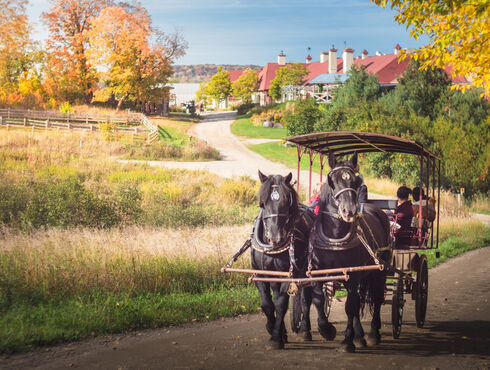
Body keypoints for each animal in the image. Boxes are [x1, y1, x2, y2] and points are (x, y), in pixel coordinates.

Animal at [253, 171, 314, 350]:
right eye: (262, 203)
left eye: (287, 202)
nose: (275, 237)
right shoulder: (260, 274)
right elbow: (267, 304)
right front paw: (274, 329)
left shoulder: (288, 275)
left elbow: (280, 303)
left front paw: (275, 338)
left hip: (306, 272)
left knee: (306, 299)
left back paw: (305, 330)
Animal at [304, 152, 392, 352]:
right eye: (331, 181)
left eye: (355, 181)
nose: (349, 211)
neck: (334, 239)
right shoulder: (317, 273)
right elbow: (319, 299)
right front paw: (327, 330)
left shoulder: (351, 276)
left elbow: (350, 307)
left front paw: (347, 340)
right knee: (359, 299)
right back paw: (360, 336)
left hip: (379, 271)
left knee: (375, 298)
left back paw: (373, 334)